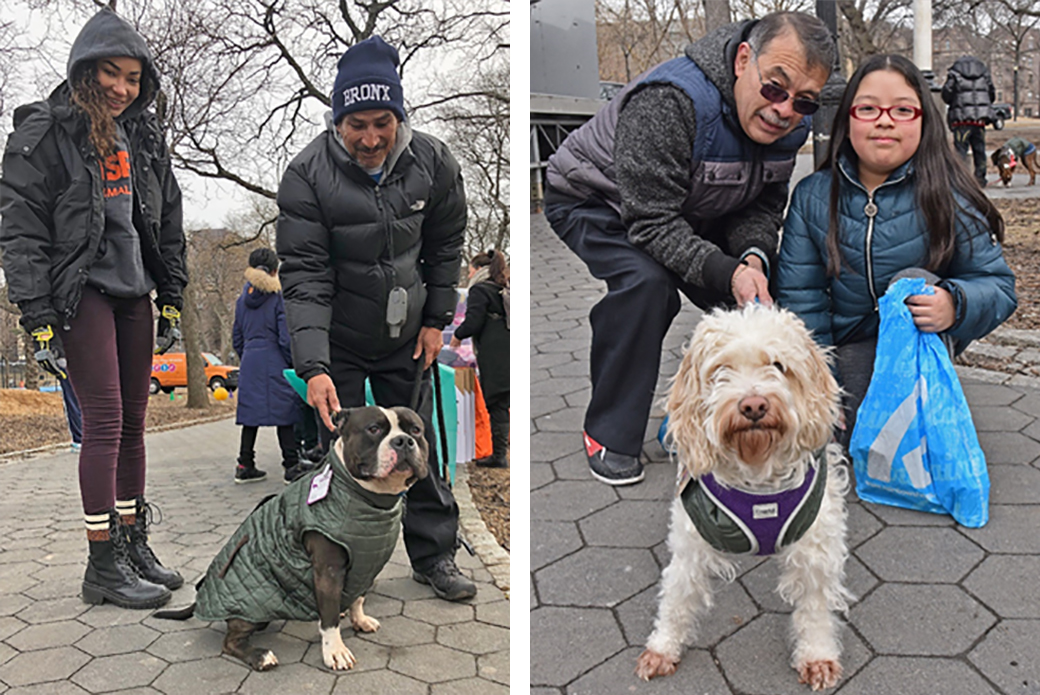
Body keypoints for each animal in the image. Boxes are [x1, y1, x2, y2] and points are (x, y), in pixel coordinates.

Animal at [636, 303, 848, 690]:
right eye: (721, 369)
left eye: (778, 365)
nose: (753, 406)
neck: (758, 473)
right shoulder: (690, 544)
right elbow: (677, 597)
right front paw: (663, 647)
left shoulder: (815, 547)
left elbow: (815, 606)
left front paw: (817, 655)